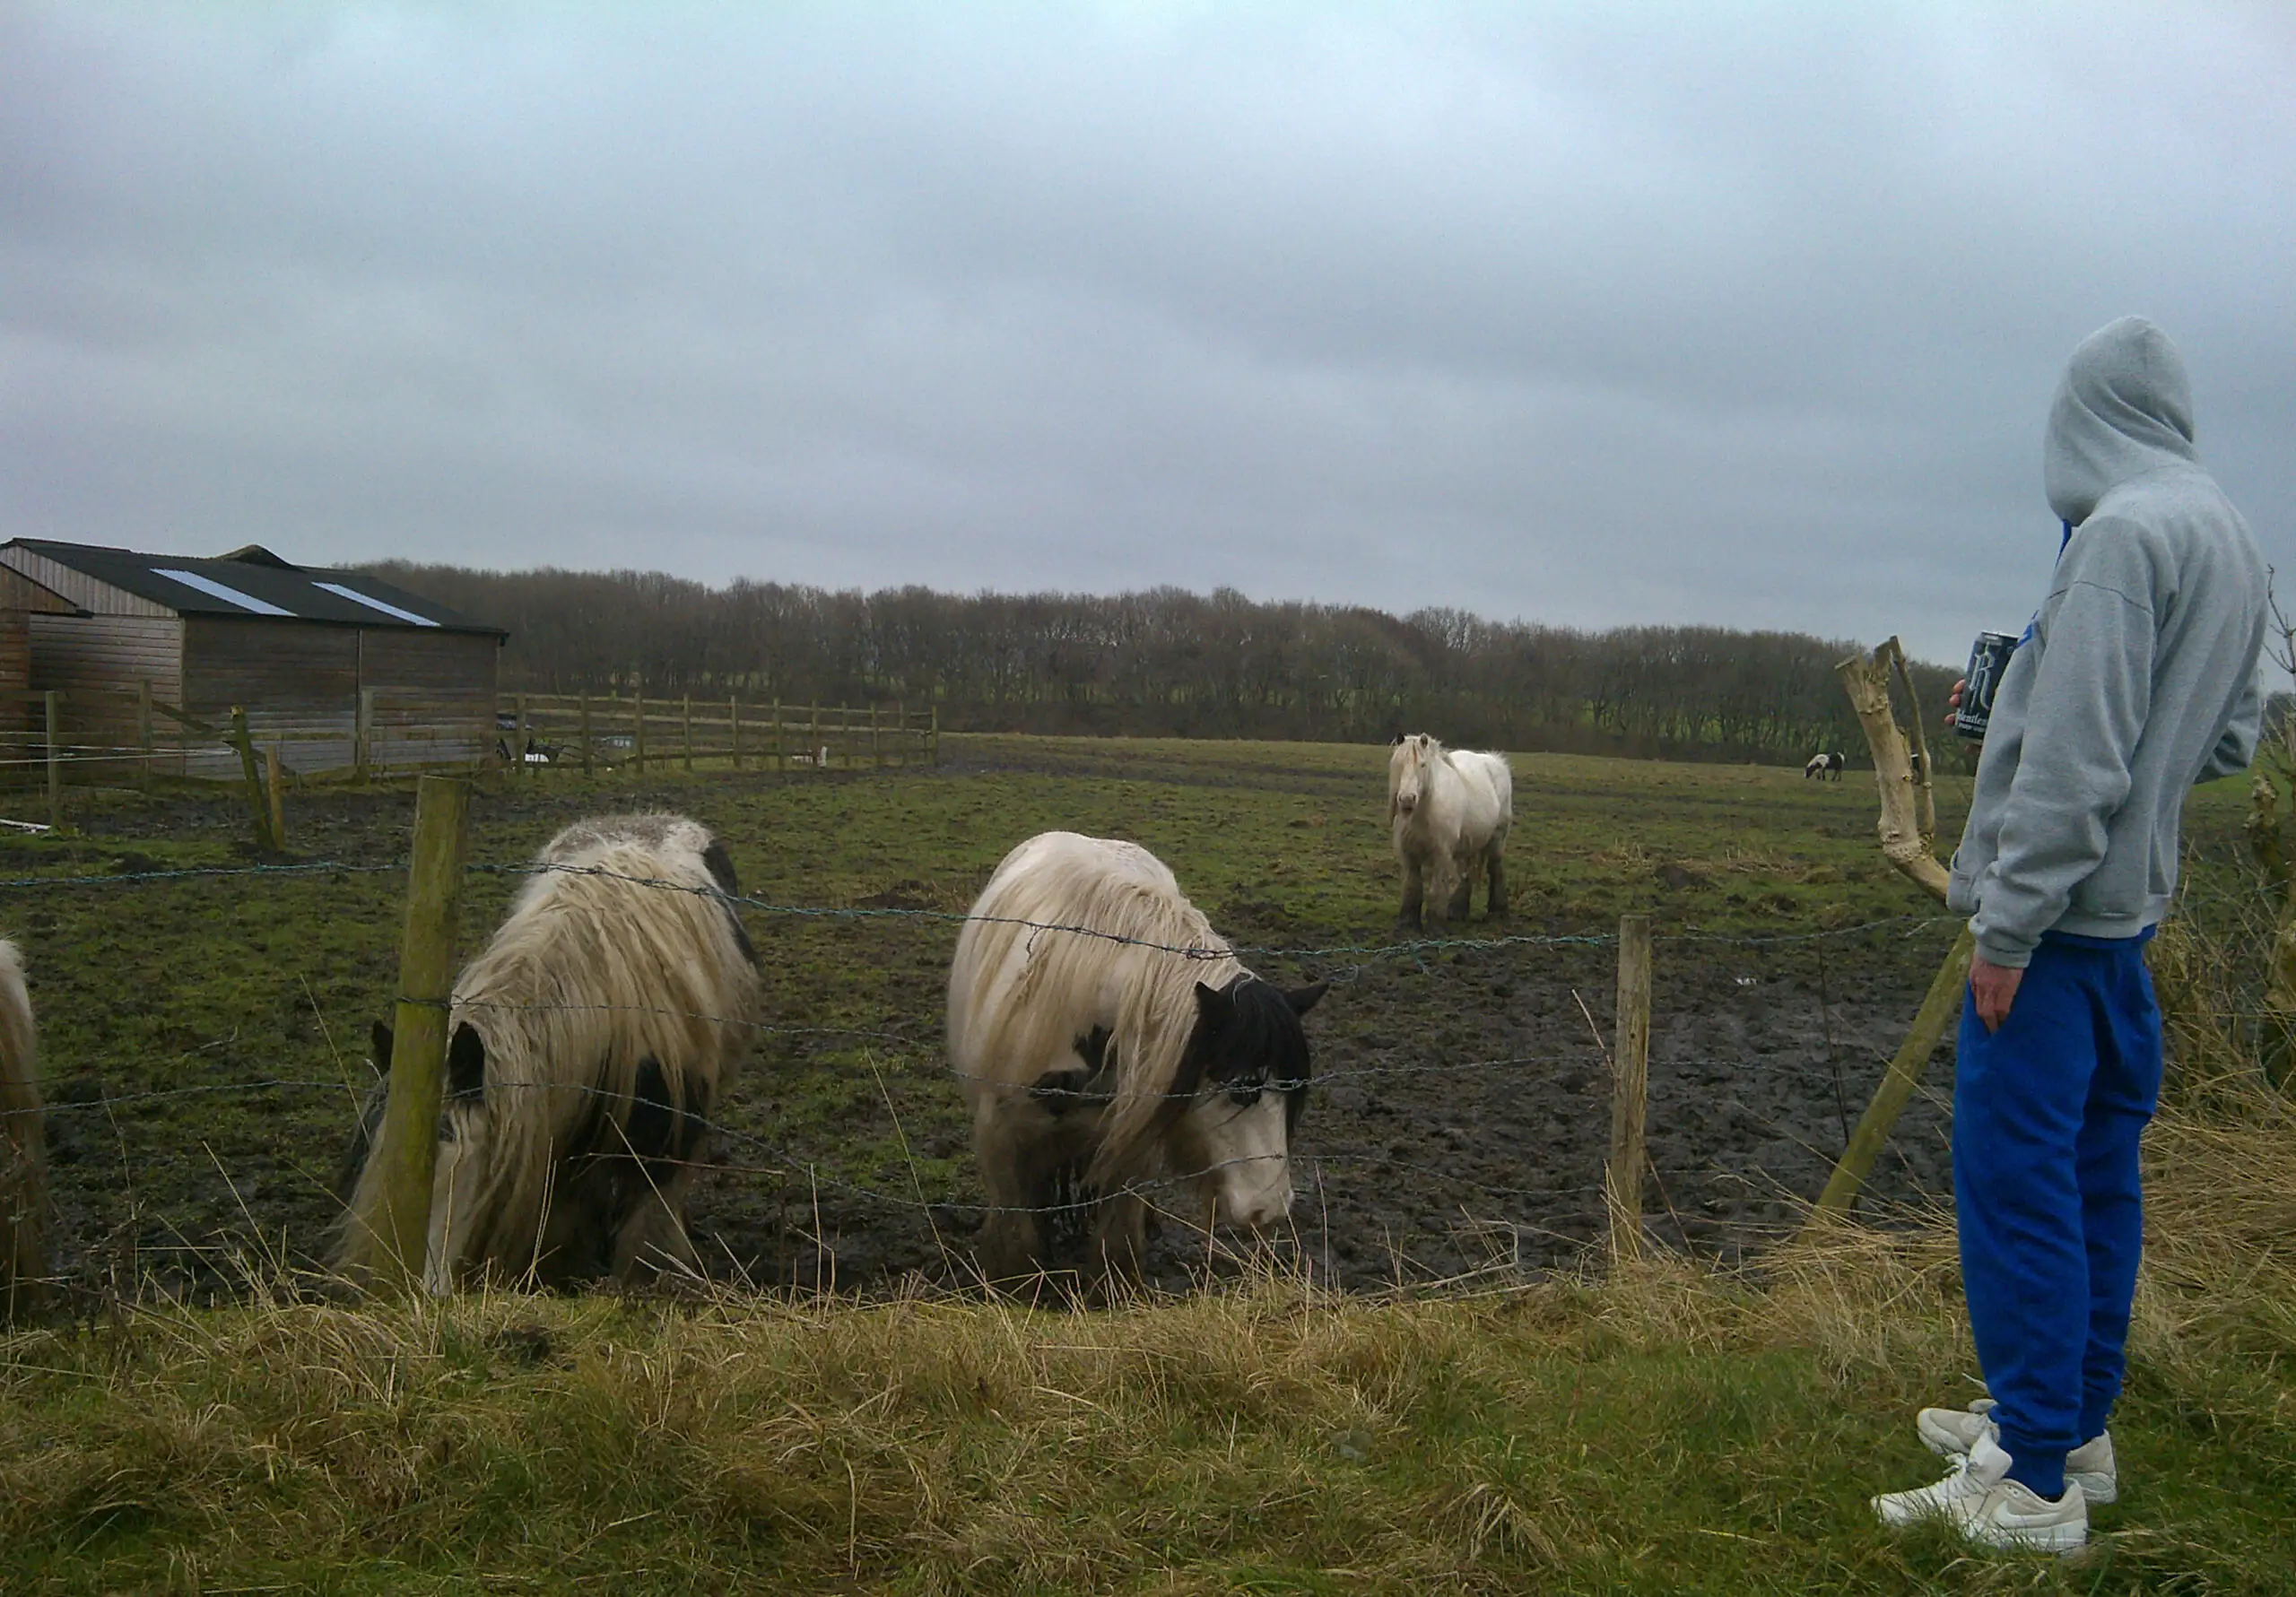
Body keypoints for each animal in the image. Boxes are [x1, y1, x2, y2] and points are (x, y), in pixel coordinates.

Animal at [948, 831, 1326, 1286]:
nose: (1270, 1208)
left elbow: (1116, 1242)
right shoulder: (1001, 1141)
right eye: (1240, 1090)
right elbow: (1019, 1242)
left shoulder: (1134, 1143)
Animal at [1387, 733, 1513, 928]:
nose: (1407, 799)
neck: (1423, 813)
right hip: (1468, 844)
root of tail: (1495, 761)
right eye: (1399, 763)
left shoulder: (1442, 852)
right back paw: (1457, 912)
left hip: (1497, 839)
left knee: (1496, 869)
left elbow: (1436, 889)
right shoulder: (1408, 854)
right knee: (1466, 873)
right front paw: (1407, 924)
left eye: (1423, 764)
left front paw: (1435, 923)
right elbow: (1412, 886)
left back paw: (1497, 911)